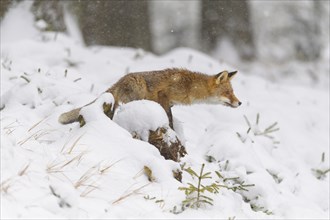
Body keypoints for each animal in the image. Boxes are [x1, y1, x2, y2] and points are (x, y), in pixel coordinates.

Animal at [58, 68, 241, 128]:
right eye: (228, 93)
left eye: (232, 92)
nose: (240, 102)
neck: (190, 86)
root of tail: (121, 79)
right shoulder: (164, 95)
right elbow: (169, 117)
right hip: (138, 89)